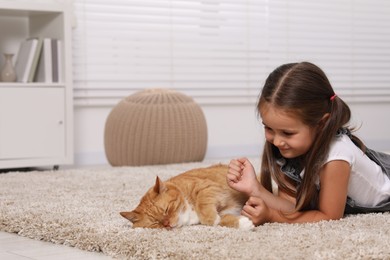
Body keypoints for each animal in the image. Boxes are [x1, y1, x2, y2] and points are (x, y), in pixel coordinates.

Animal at [122, 164, 256, 231]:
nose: (167, 224)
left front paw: (210, 218)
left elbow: (202, 203)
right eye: (155, 223)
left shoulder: (207, 187)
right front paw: (242, 223)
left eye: (167, 210)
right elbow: (222, 220)